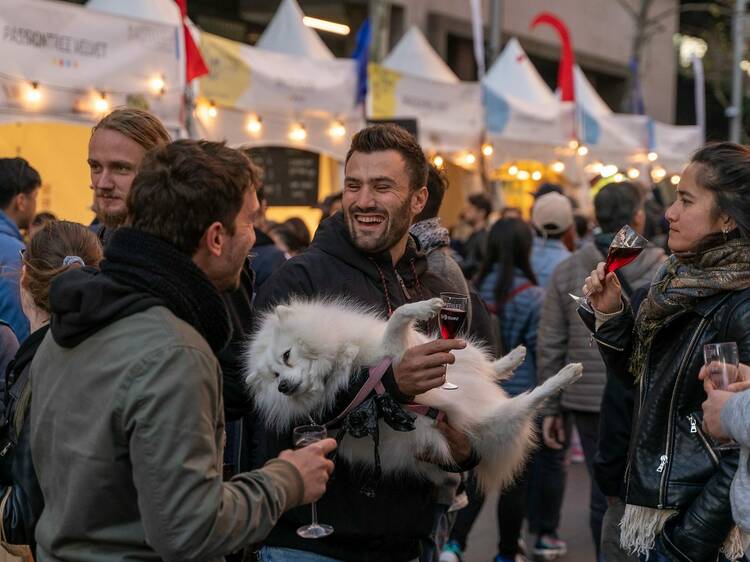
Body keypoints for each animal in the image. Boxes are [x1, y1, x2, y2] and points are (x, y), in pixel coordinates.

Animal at [250, 298, 584, 490]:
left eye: (287, 356)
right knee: (528, 402)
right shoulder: (390, 354)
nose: (282, 387)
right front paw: (424, 307)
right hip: (499, 421)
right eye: (273, 376)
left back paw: (513, 358)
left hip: (464, 359)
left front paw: (424, 306)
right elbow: (397, 318)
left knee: (481, 363)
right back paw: (565, 375)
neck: (342, 358)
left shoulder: (403, 347)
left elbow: (400, 316)